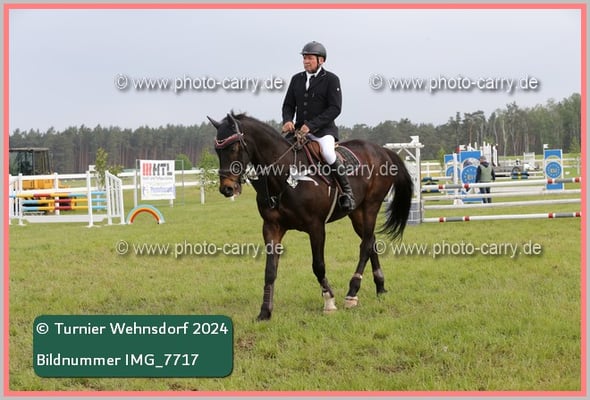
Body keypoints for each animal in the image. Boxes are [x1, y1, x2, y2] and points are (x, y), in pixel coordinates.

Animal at [207, 112, 413, 321]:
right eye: (217, 150)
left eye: (233, 148)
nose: (227, 189)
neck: (285, 176)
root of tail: (381, 150)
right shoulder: (271, 227)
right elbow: (270, 270)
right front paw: (265, 311)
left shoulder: (316, 227)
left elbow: (318, 265)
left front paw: (329, 301)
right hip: (357, 213)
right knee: (371, 241)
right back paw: (380, 287)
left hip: (371, 206)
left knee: (365, 246)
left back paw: (352, 293)